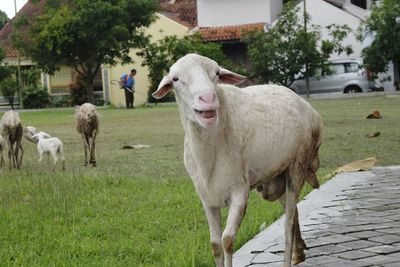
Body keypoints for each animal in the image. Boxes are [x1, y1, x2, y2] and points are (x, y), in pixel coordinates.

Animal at [152, 54, 324, 267]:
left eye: (217, 73)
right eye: (175, 79)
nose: (208, 99)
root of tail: (306, 106)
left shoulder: (239, 192)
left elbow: (227, 240)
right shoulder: (206, 197)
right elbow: (215, 244)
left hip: (297, 166)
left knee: (288, 221)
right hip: (278, 175)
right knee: (292, 213)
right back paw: (298, 253)